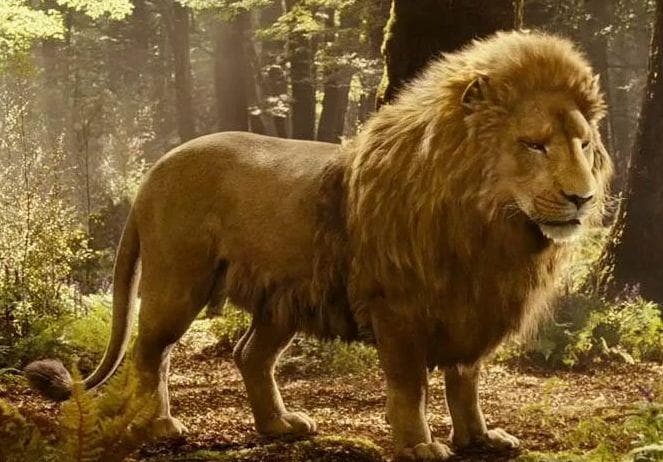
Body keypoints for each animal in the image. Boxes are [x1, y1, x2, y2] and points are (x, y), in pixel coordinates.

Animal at [26, 31, 612, 460]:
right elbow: (411, 386)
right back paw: (162, 426)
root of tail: (154, 170)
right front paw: (419, 446)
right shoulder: (398, 309)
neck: (489, 226)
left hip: (282, 300)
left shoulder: (474, 305)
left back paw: (280, 426)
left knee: (248, 354)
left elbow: (464, 382)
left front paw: (481, 439)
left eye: (583, 144)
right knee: (151, 355)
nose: (581, 198)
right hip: (178, 281)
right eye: (534, 144)